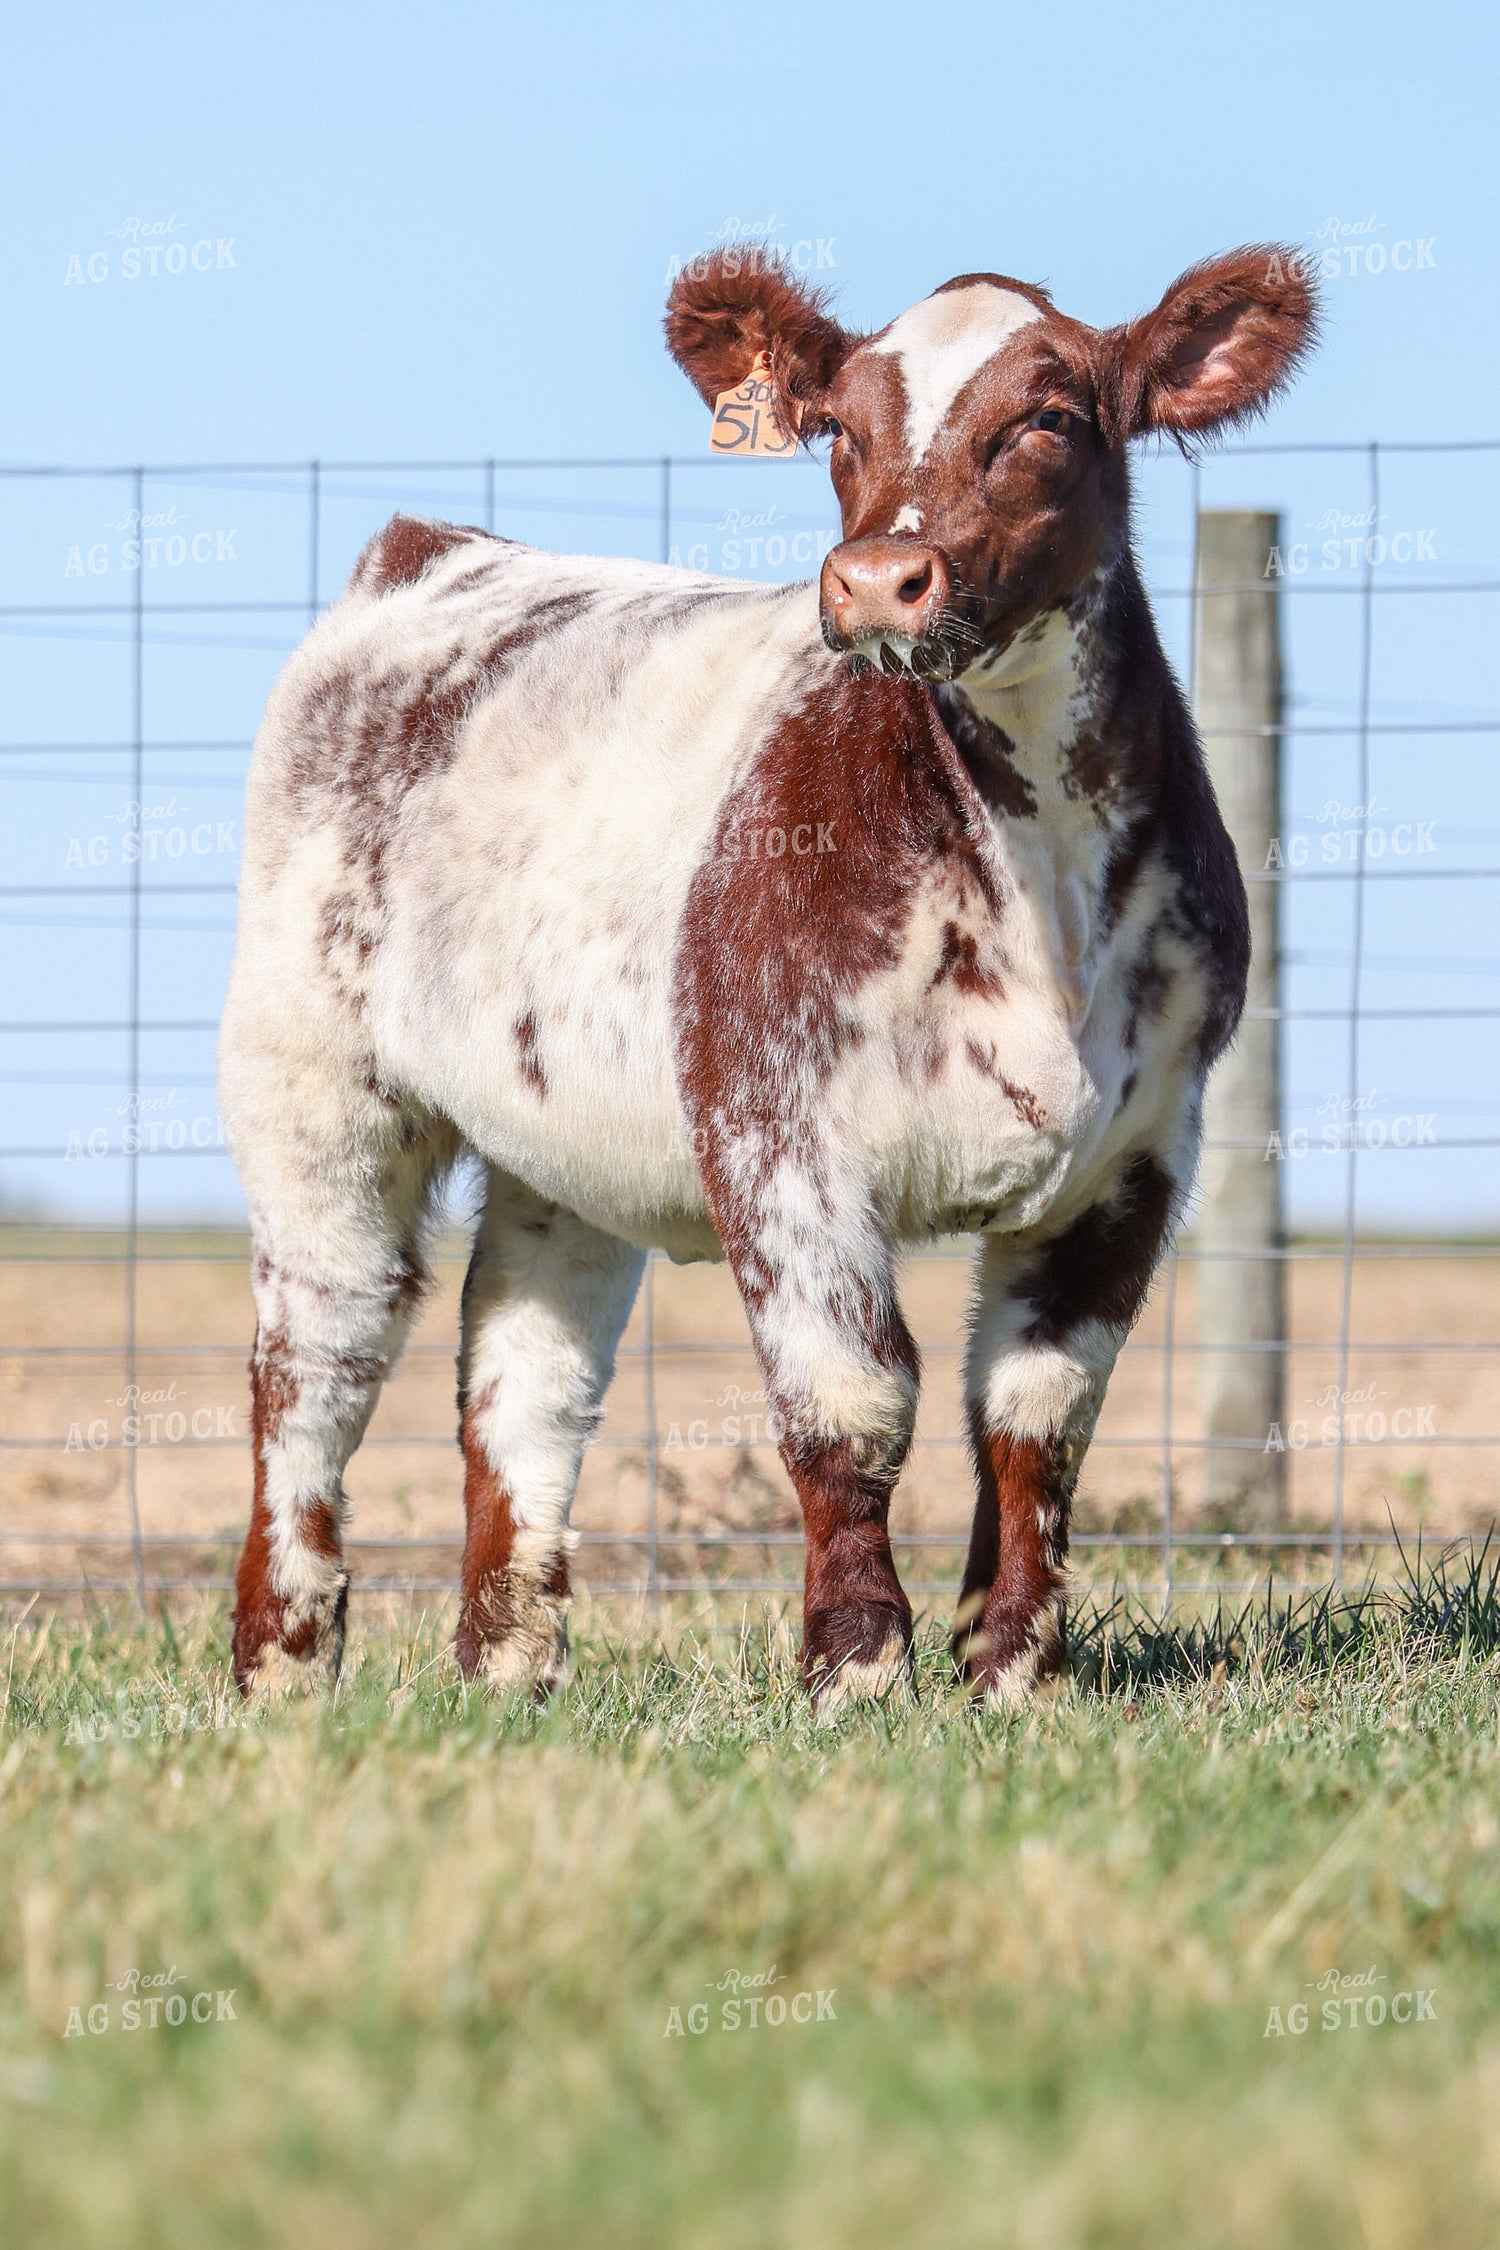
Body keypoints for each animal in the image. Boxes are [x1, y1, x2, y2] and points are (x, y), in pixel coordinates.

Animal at [221, 242, 1316, 1709]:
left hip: (558, 1132)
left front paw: (1014, 1670)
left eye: (1048, 418)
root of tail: (435, 553)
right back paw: (281, 1665)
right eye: (838, 425)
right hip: (314, 1075)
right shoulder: (778, 1123)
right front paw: (856, 1665)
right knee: (319, 1354)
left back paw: (509, 1664)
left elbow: (1038, 1412)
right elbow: (853, 1395)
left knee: (525, 1369)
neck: (1036, 876)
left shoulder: (1141, 1151)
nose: (878, 580)